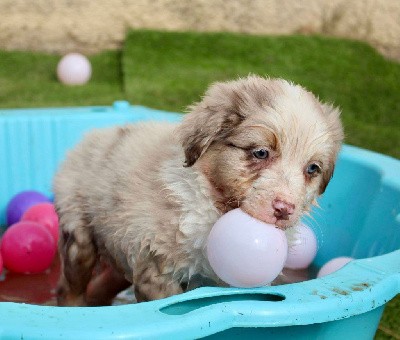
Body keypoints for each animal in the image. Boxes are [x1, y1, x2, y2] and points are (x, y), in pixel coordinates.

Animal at [54, 76, 344, 306]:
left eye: (312, 168)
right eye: (261, 153)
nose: (284, 210)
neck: (213, 206)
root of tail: (92, 135)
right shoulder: (158, 270)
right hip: (78, 232)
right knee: (69, 287)